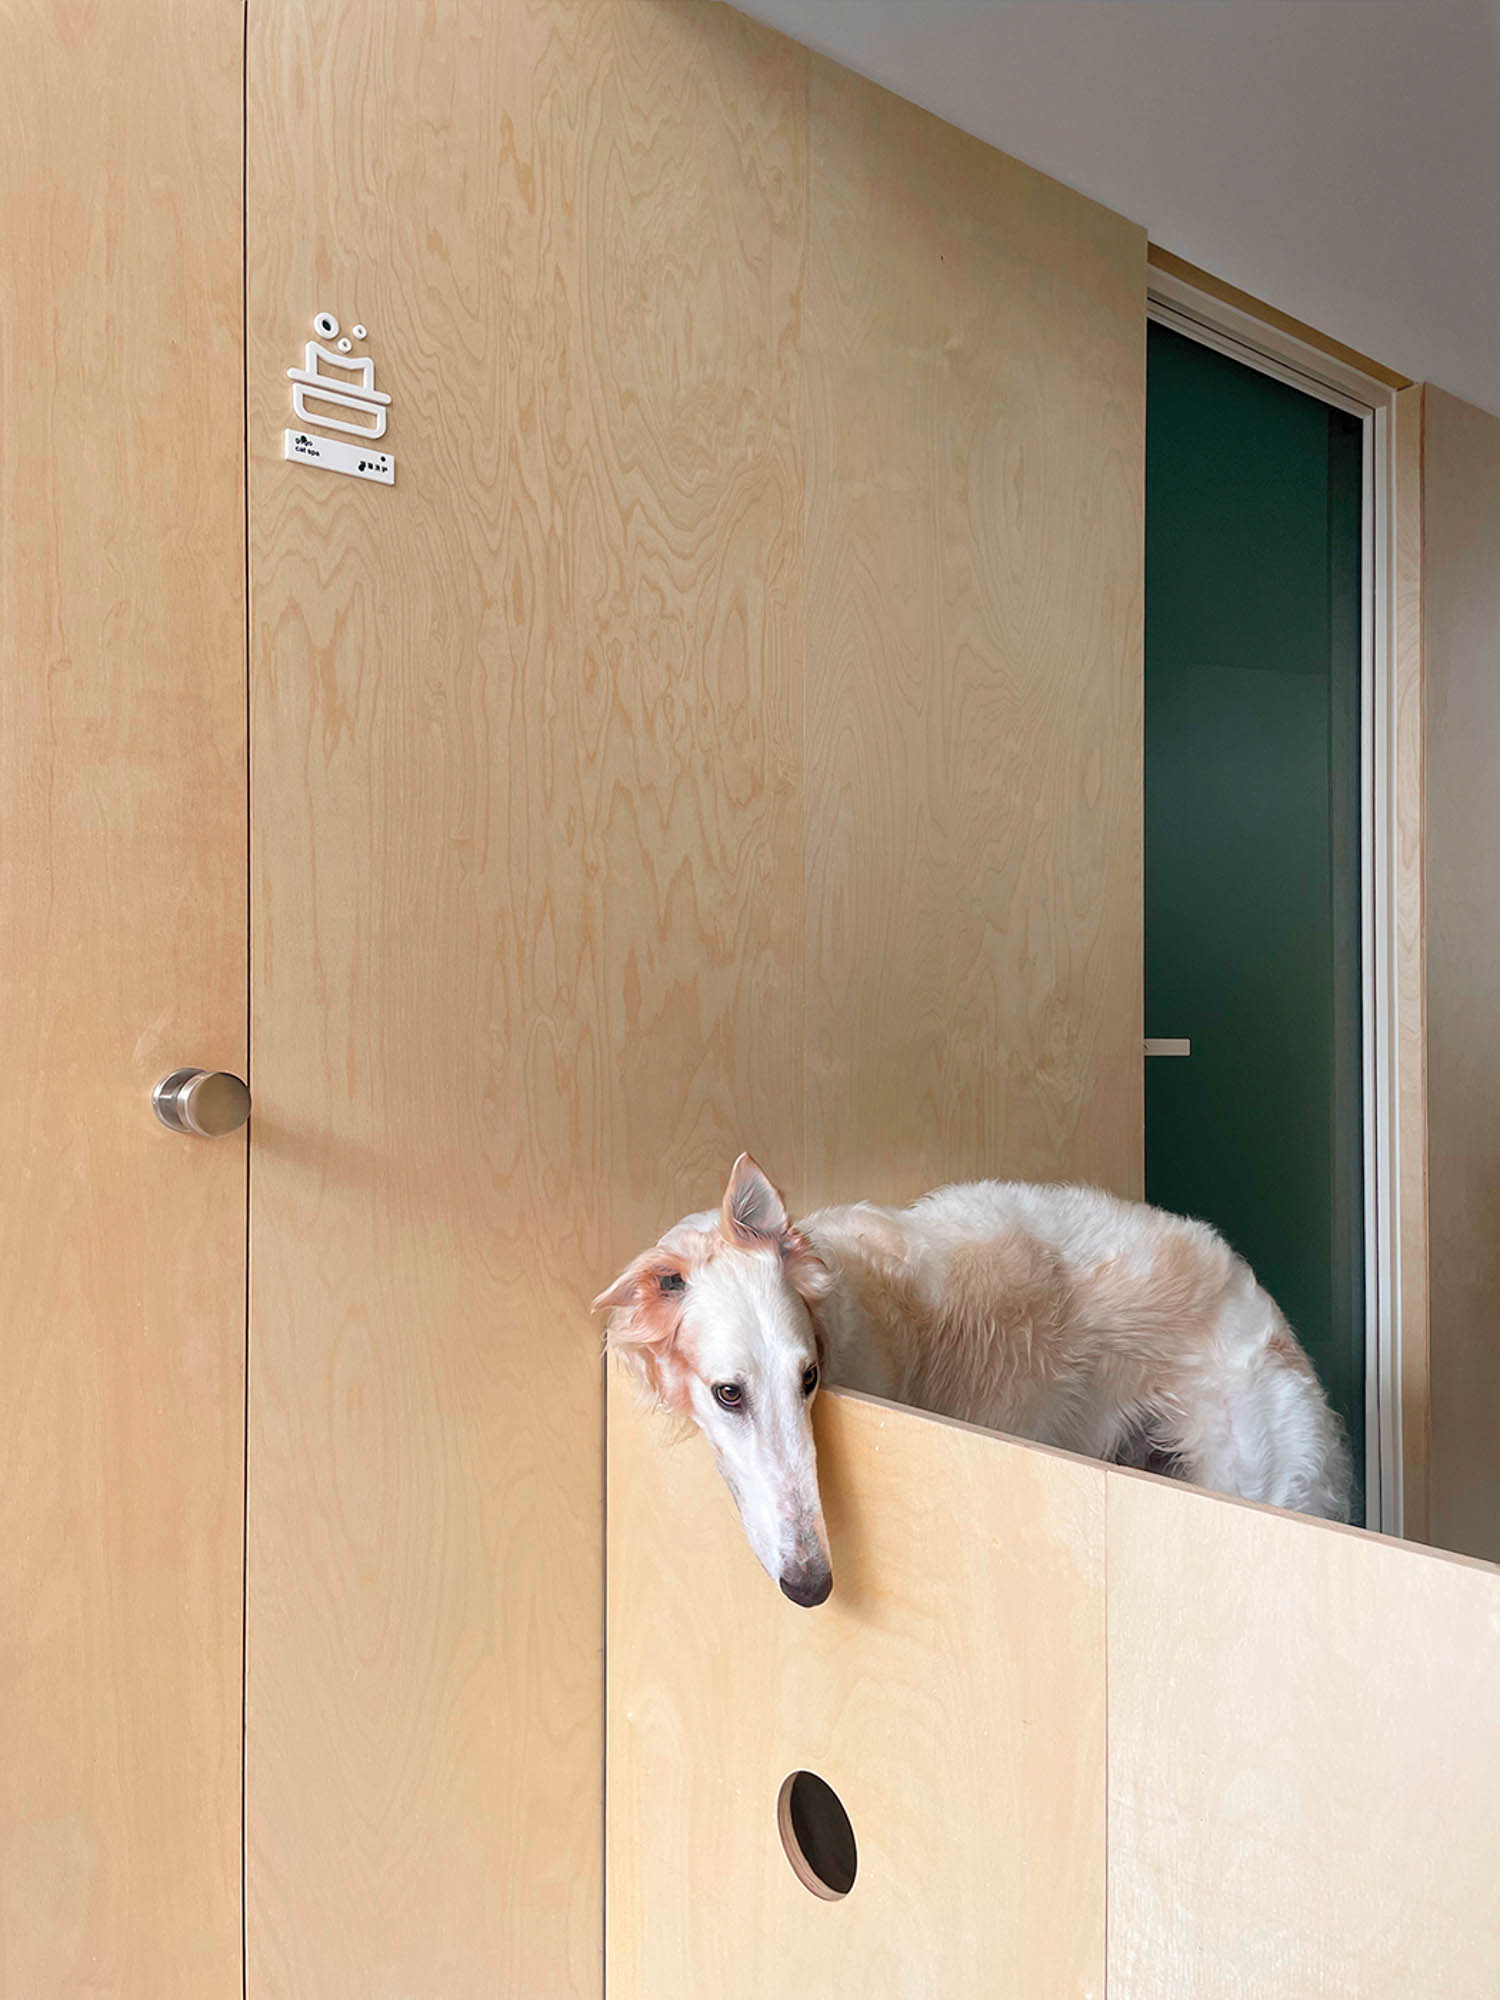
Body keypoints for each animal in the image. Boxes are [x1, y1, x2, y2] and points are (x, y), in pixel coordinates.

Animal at [600, 1152, 1360, 1600]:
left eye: (809, 1379)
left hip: (1252, 1476)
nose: (811, 1586)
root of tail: (1266, 1311)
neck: (843, 1313)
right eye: (729, 1393)